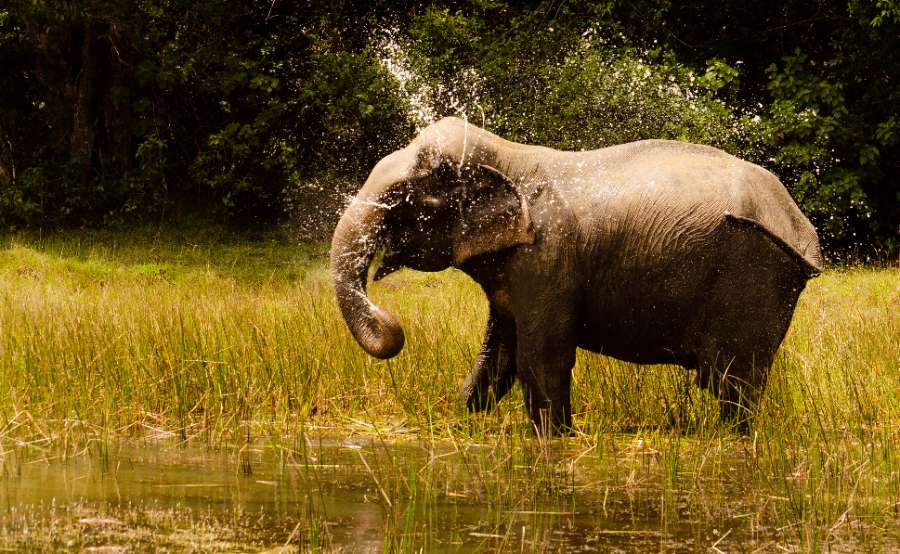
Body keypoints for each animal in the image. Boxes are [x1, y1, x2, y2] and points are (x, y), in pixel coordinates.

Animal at [330, 116, 824, 434]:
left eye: (414, 202)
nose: (391, 324)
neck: (507, 155)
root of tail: (802, 229)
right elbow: (498, 360)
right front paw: (457, 422)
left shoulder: (547, 258)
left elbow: (539, 359)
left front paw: (555, 439)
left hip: (754, 274)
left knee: (732, 382)